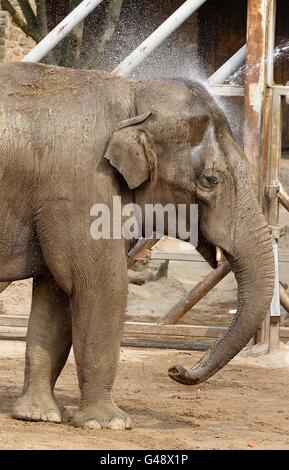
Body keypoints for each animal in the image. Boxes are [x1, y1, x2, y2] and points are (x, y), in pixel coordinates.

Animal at [0, 61, 274, 430]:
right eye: (209, 180)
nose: (175, 368)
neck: (132, 96)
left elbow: (56, 293)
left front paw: (40, 415)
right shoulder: (81, 187)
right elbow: (100, 286)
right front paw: (108, 424)